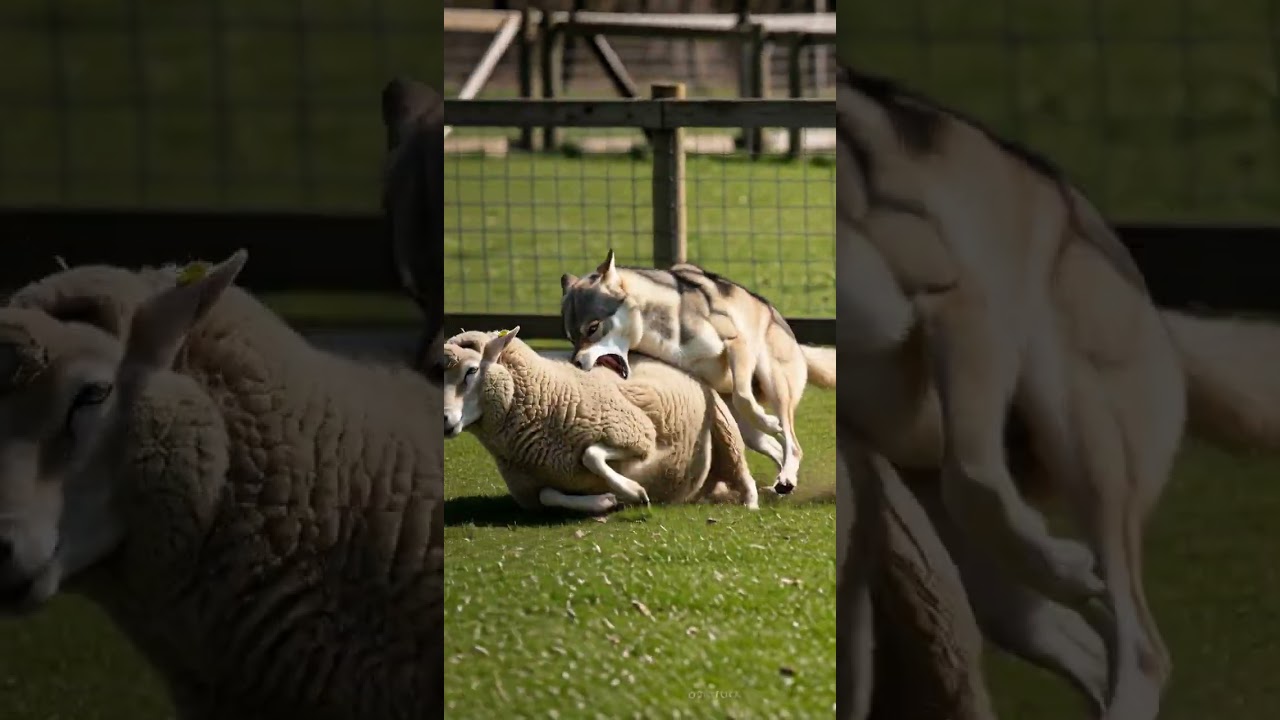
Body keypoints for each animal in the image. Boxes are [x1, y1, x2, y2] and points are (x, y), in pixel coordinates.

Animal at [442, 326, 760, 514]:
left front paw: (634, 492)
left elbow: (591, 455)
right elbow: (549, 495)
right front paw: (605, 500)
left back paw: (751, 503)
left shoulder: (637, 434)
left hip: (724, 427)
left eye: (471, 370)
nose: (445, 420)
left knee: (745, 475)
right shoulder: (530, 489)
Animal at [560, 251, 836, 495]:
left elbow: (744, 396)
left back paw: (785, 471)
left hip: (774, 382)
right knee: (776, 447)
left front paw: (768, 420)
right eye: (571, 337)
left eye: (592, 328)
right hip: (744, 429)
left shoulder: (737, 343)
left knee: (792, 443)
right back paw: (784, 484)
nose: (575, 364)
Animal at [839, 62, 1280, 720]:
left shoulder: (964, 304)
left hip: (1078, 420)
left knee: (1141, 650)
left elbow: (973, 479)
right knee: (1087, 649)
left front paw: (1067, 566)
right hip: (980, 578)